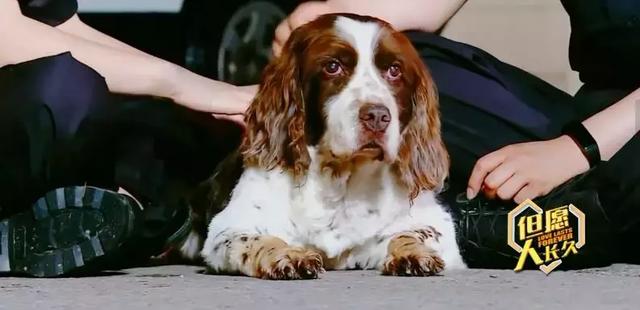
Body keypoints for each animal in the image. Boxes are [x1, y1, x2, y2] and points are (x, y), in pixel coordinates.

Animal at [180, 13, 464, 280]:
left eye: (394, 70)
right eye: (332, 66)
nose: (377, 116)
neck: (340, 178)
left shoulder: (435, 224)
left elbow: (411, 233)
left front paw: (413, 254)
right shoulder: (229, 228)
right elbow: (256, 240)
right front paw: (287, 255)